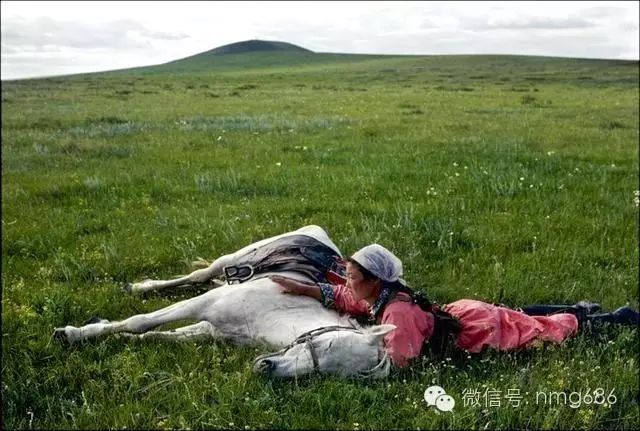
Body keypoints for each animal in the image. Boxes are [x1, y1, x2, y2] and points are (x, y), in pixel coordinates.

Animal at [53, 226, 396, 378]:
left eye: (326, 373)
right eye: (326, 345)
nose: (266, 368)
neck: (278, 311)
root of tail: (317, 233)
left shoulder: (212, 328)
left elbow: (158, 335)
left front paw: (110, 334)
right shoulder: (205, 304)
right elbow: (141, 322)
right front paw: (72, 333)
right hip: (229, 260)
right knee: (199, 275)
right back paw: (139, 287)